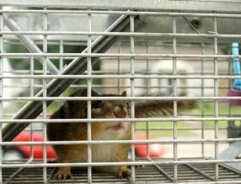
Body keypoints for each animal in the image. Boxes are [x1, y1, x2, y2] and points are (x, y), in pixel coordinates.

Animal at [47, 88, 196, 179]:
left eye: (127, 104)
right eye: (96, 104)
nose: (122, 113)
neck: (100, 140)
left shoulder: (117, 153)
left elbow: (119, 164)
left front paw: (124, 169)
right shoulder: (64, 144)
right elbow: (65, 160)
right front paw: (63, 172)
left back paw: (132, 163)